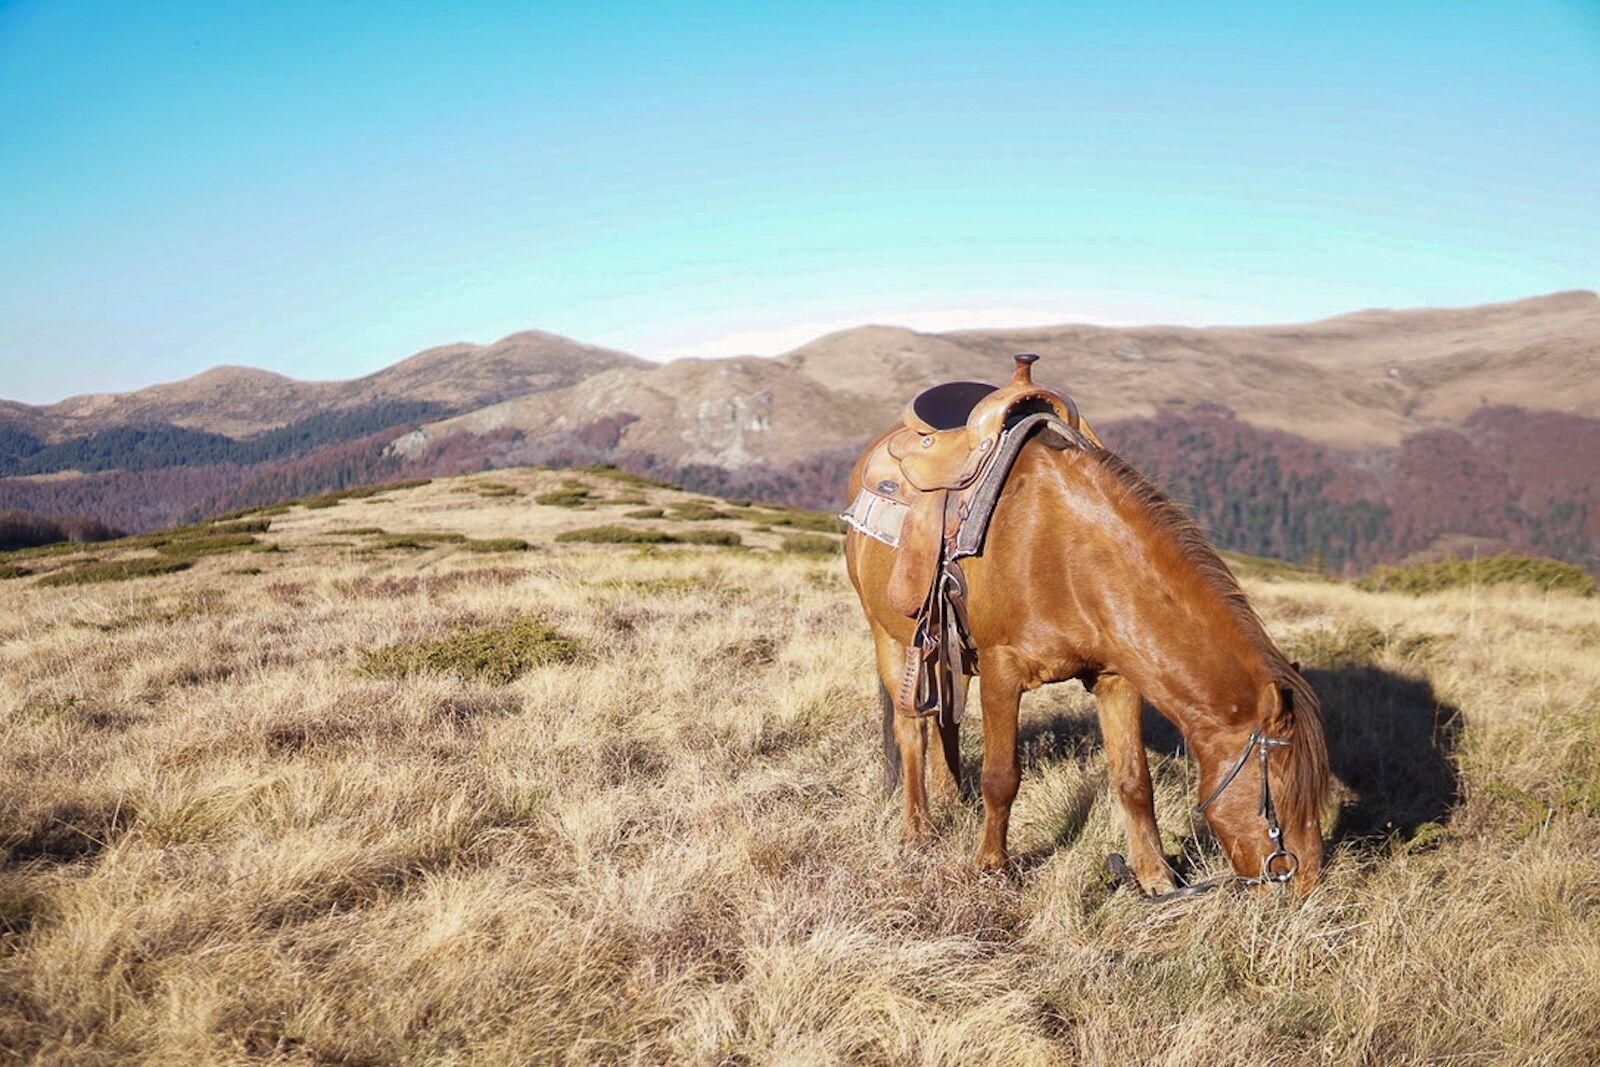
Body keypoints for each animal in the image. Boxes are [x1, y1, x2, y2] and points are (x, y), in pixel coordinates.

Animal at [843, 413, 1330, 896]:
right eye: (1281, 794)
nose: (1306, 884)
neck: (1065, 551)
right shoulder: (1002, 671)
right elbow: (1001, 778)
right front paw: (992, 867)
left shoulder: (1117, 679)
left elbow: (1134, 780)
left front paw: (1154, 876)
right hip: (892, 640)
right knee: (912, 732)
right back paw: (918, 829)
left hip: (951, 652)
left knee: (947, 720)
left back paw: (950, 799)